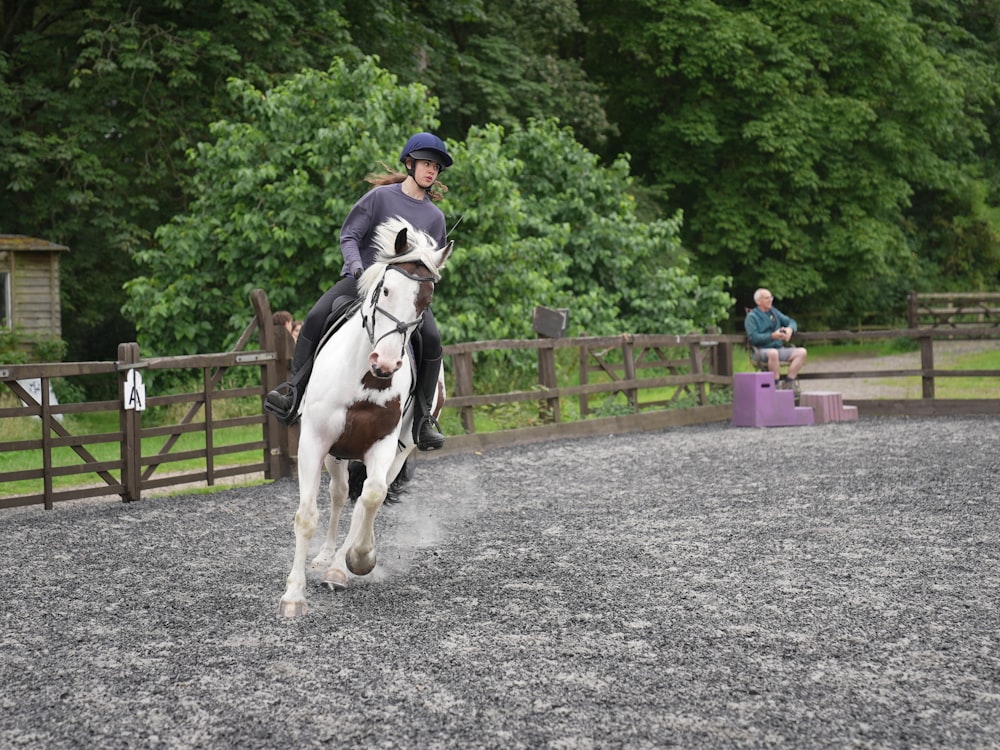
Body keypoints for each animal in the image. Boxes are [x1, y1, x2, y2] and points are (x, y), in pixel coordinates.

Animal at [282, 216, 454, 616]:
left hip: (399, 451)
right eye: (386, 289)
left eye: (425, 300)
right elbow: (307, 515)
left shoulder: (384, 445)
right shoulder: (314, 441)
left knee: (364, 497)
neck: (366, 381)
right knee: (339, 494)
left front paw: (358, 560)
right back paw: (324, 557)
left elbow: (371, 498)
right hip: (335, 452)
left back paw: (337, 566)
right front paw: (294, 595)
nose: (386, 363)